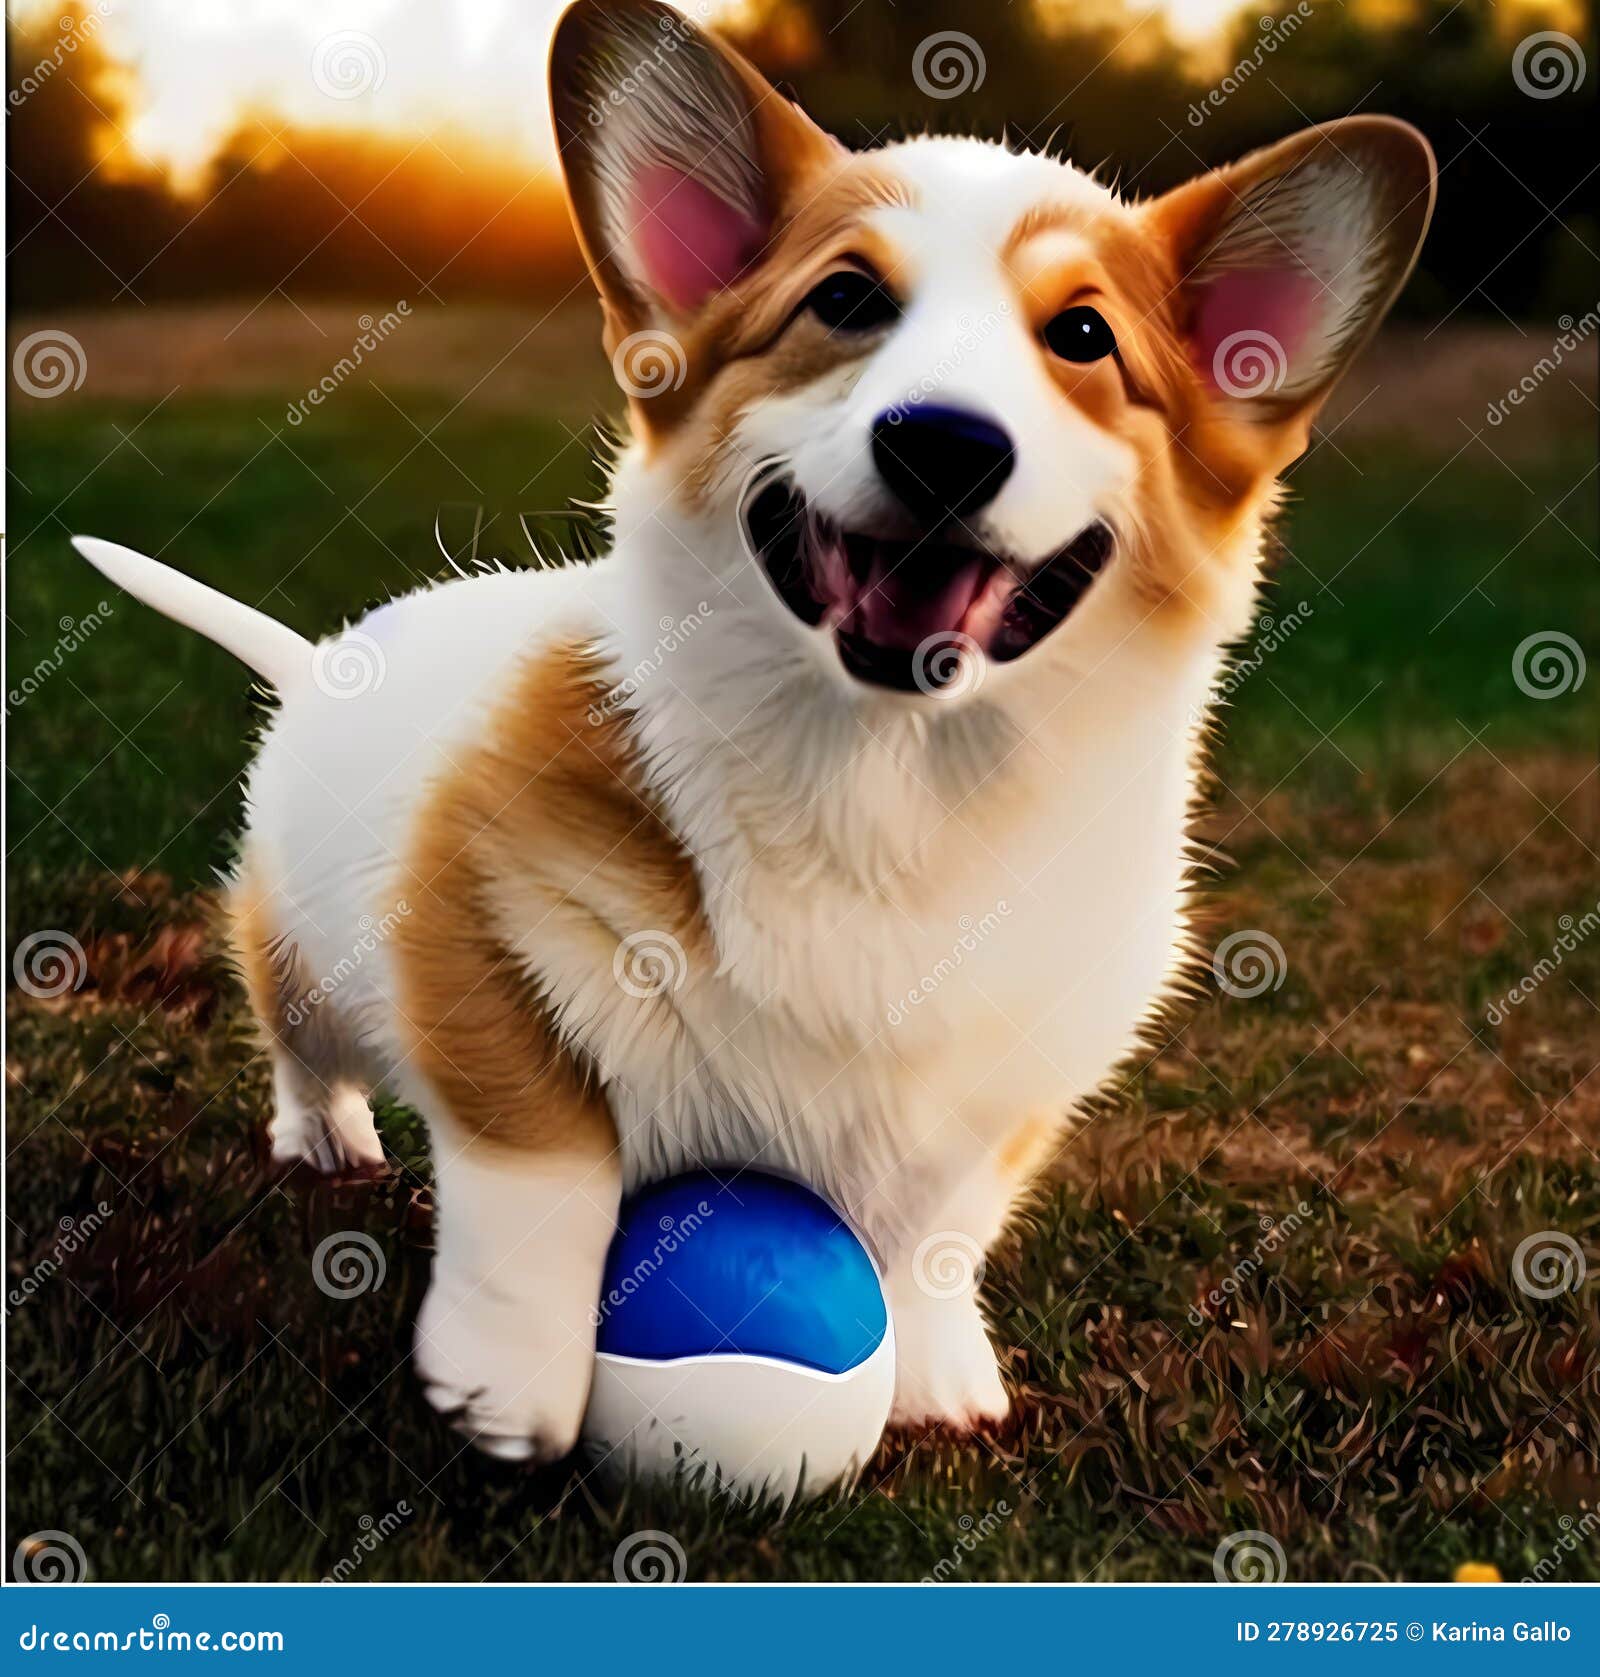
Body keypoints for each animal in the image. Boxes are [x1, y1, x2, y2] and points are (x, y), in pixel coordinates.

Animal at [68, 0, 1428, 1462]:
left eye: (1080, 336)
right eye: (846, 301)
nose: (944, 444)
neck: (885, 783)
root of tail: (326, 659)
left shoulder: (1010, 1082)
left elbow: (938, 1231)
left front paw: (939, 1381)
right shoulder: (474, 949)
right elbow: (540, 1179)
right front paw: (507, 1392)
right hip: (305, 956)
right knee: (298, 1040)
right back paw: (323, 1136)